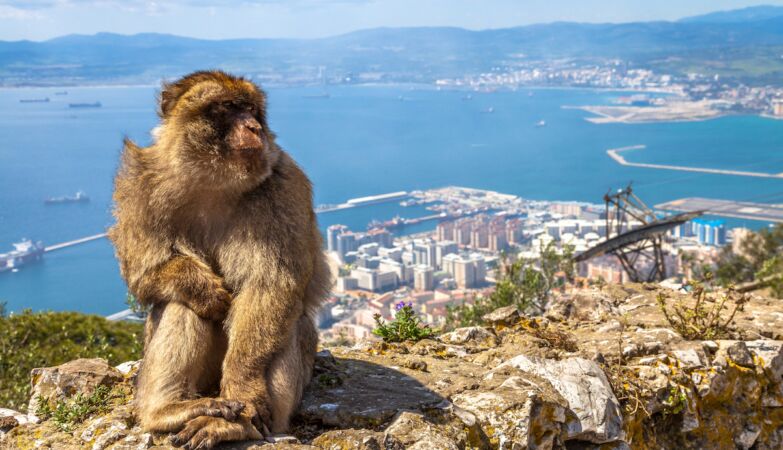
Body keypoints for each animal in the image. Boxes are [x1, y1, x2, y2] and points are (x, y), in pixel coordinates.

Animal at [108, 70, 331, 449]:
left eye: (251, 109)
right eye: (227, 107)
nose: (254, 127)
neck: (214, 181)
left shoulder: (284, 185)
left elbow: (269, 287)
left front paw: (246, 387)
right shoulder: (141, 183)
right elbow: (142, 270)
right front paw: (202, 288)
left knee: (285, 322)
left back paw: (237, 423)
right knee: (180, 305)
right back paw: (166, 410)